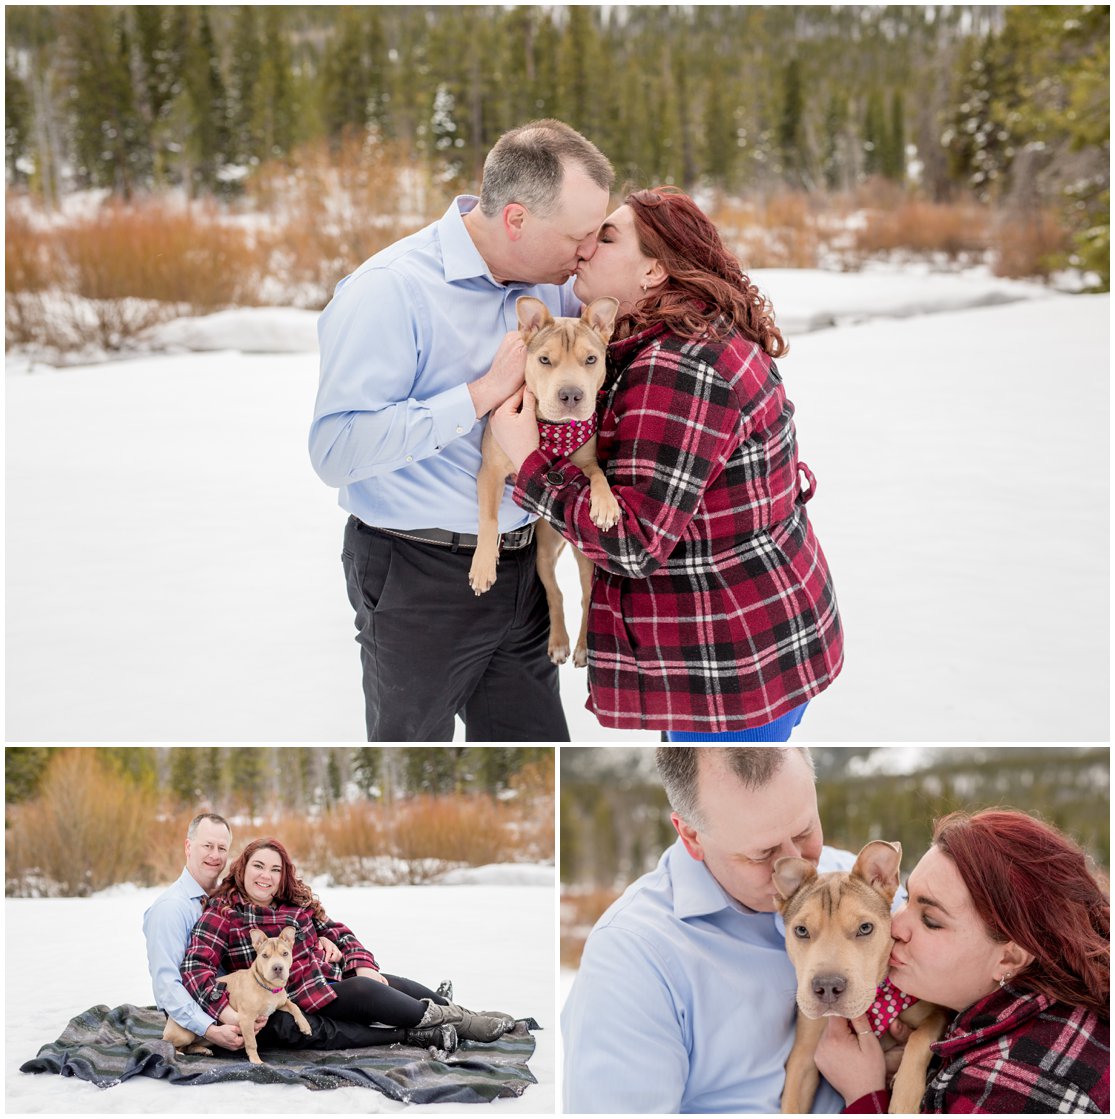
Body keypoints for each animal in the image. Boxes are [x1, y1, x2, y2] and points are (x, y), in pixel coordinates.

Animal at [160, 926, 308, 1065]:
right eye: (265, 956)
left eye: (285, 953)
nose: (277, 968)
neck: (268, 987)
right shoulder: (247, 1019)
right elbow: (252, 1043)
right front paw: (256, 1061)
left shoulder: (280, 1002)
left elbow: (293, 1006)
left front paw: (305, 1026)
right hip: (184, 1034)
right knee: (169, 1043)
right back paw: (178, 1053)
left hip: (207, 1039)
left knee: (189, 1046)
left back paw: (202, 1050)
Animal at [470, 293, 622, 666]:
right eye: (544, 360)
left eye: (591, 359)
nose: (571, 395)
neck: (553, 431)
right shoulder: (490, 470)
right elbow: (489, 519)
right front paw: (483, 566)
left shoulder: (586, 462)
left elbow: (598, 476)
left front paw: (606, 506)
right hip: (544, 552)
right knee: (554, 592)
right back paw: (558, 643)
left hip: (586, 558)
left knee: (585, 596)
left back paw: (580, 646)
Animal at [774, 841, 949, 1114]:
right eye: (801, 931)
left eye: (865, 928)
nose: (827, 987)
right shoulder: (803, 1058)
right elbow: (792, 1104)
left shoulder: (937, 1012)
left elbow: (921, 1038)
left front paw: (905, 1097)